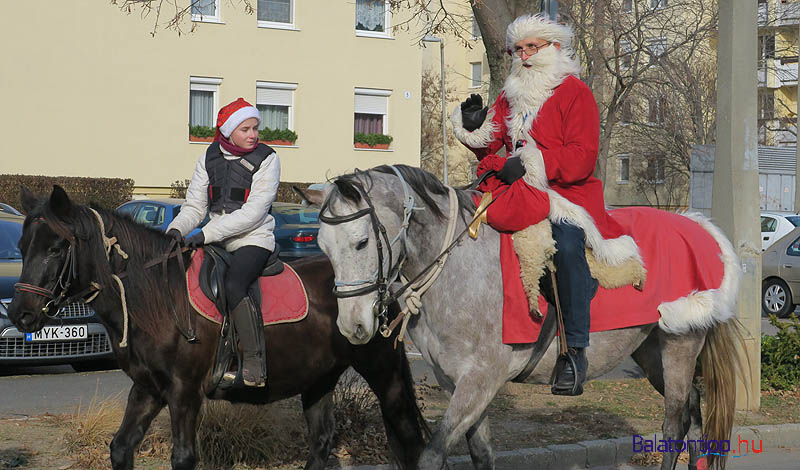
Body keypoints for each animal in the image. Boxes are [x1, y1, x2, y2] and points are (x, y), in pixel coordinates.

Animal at [7, 186, 432, 470]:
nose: (20, 315)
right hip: (319, 379)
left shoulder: (184, 392)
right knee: (322, 442)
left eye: (56, 249)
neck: (157, 296)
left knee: (409, 438)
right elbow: (121, 447)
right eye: (24, 246)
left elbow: (183, 457)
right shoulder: (147, 389)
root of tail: (385, 281)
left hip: (383, 371)